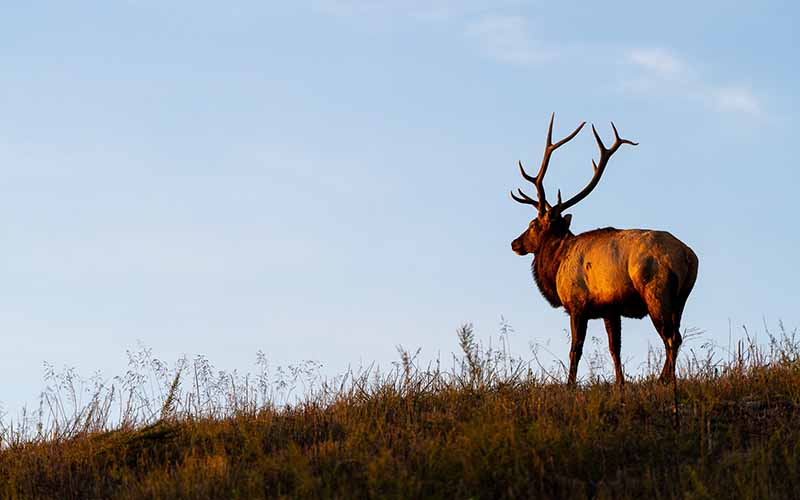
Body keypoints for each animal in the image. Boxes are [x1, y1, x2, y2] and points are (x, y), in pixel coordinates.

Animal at [510, 114, 698, 386]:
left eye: (533, 224)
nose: (515, 243)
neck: (557, 264)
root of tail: (688, 257)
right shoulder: (611, 309)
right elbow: (614, 348)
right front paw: (620, 383)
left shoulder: (578, 305)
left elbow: (575, 349)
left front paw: (570, 385)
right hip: (681, 298)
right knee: (677, 334)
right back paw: (662, 378)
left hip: (656, 291)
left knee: (672, 337)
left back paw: (666, 381)